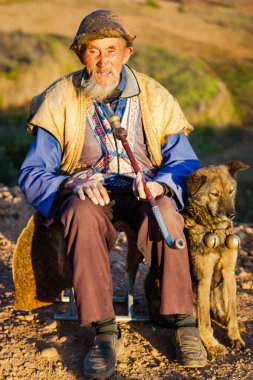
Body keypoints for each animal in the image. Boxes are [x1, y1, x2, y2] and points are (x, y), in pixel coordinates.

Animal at [145, 161, 248, 356]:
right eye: (214, 194)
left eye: (231, 191)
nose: (231, 214)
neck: (215, 230)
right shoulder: (203, 278)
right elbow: (205, 320)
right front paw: (211, 344)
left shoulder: (229, 273)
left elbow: (231, 310)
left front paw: (235, 337)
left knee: (216, 304)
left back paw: (224, 317)